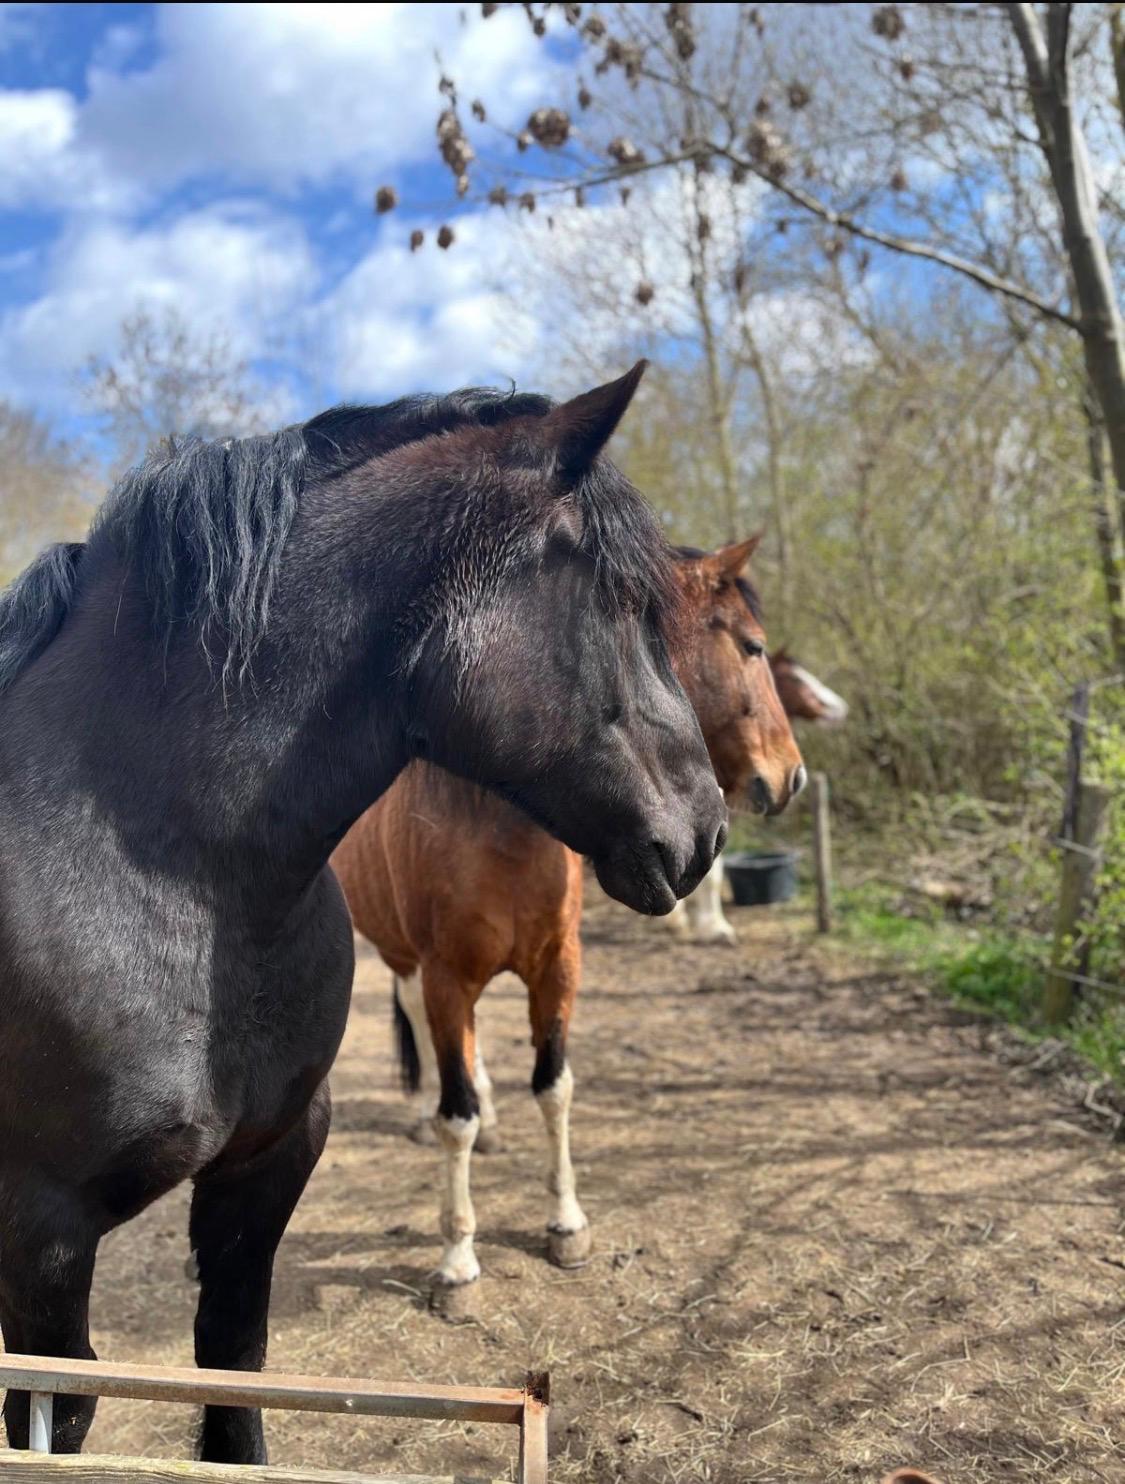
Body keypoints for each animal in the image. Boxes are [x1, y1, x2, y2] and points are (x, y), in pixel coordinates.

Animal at [0, 364, 729, 1464]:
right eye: (622, 602)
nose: (708, 829)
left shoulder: (269, 1162)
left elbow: (234, 1374)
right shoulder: (44, 1230)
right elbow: (62, 1414)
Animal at [331, 535, 804, 1288]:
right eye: (752, 647)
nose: (791, 776)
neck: (493, 827)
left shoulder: (558, 969)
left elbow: (553, 1088)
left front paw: (566, 1223)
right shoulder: (447, 978)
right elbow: (456, 1113)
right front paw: (458, 1256)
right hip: (402, 955)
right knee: (418, 1026)